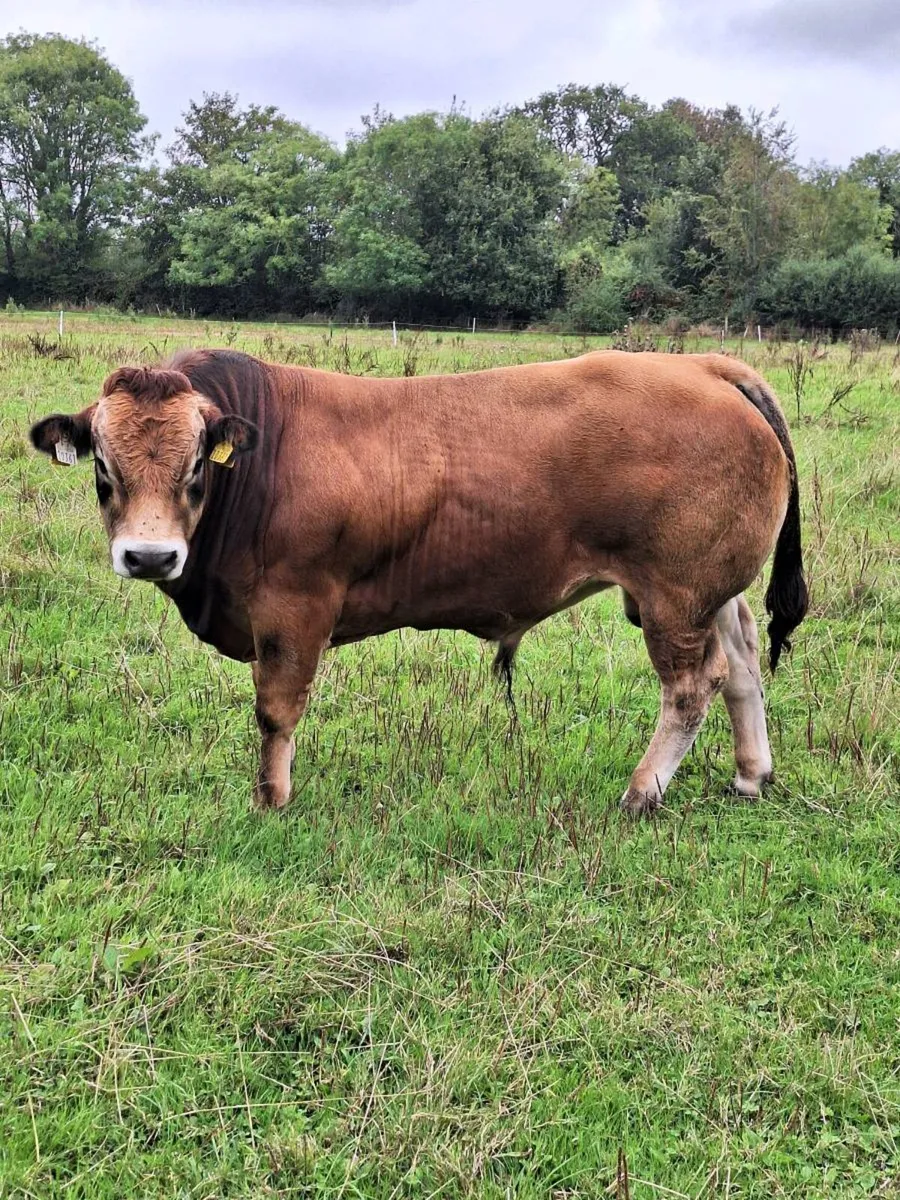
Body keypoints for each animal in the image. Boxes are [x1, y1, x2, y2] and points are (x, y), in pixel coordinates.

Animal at [29, 348, 808, 817]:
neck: (260, 465)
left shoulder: (293, 609)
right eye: (104, 467)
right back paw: (750, 772)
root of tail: (701, 365)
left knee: (693, 686)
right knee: (742, 664)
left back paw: (643, 791)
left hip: (674, 597)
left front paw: (272, 798)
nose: (150, 556)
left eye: (196, 466)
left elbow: (276, 712)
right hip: (708, 592)